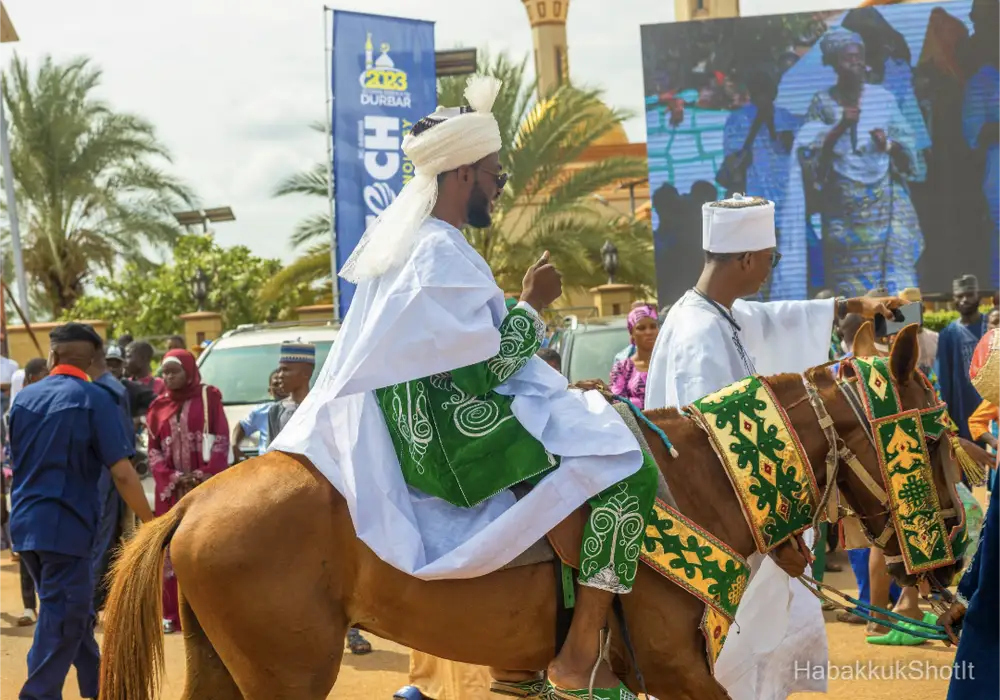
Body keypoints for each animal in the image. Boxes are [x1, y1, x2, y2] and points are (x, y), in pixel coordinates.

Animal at [99, 326, 960, 700]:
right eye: (934, 436)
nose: (953, 562)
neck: (705, 479)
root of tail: (194, 503)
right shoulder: (678, 669)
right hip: (289, 675)